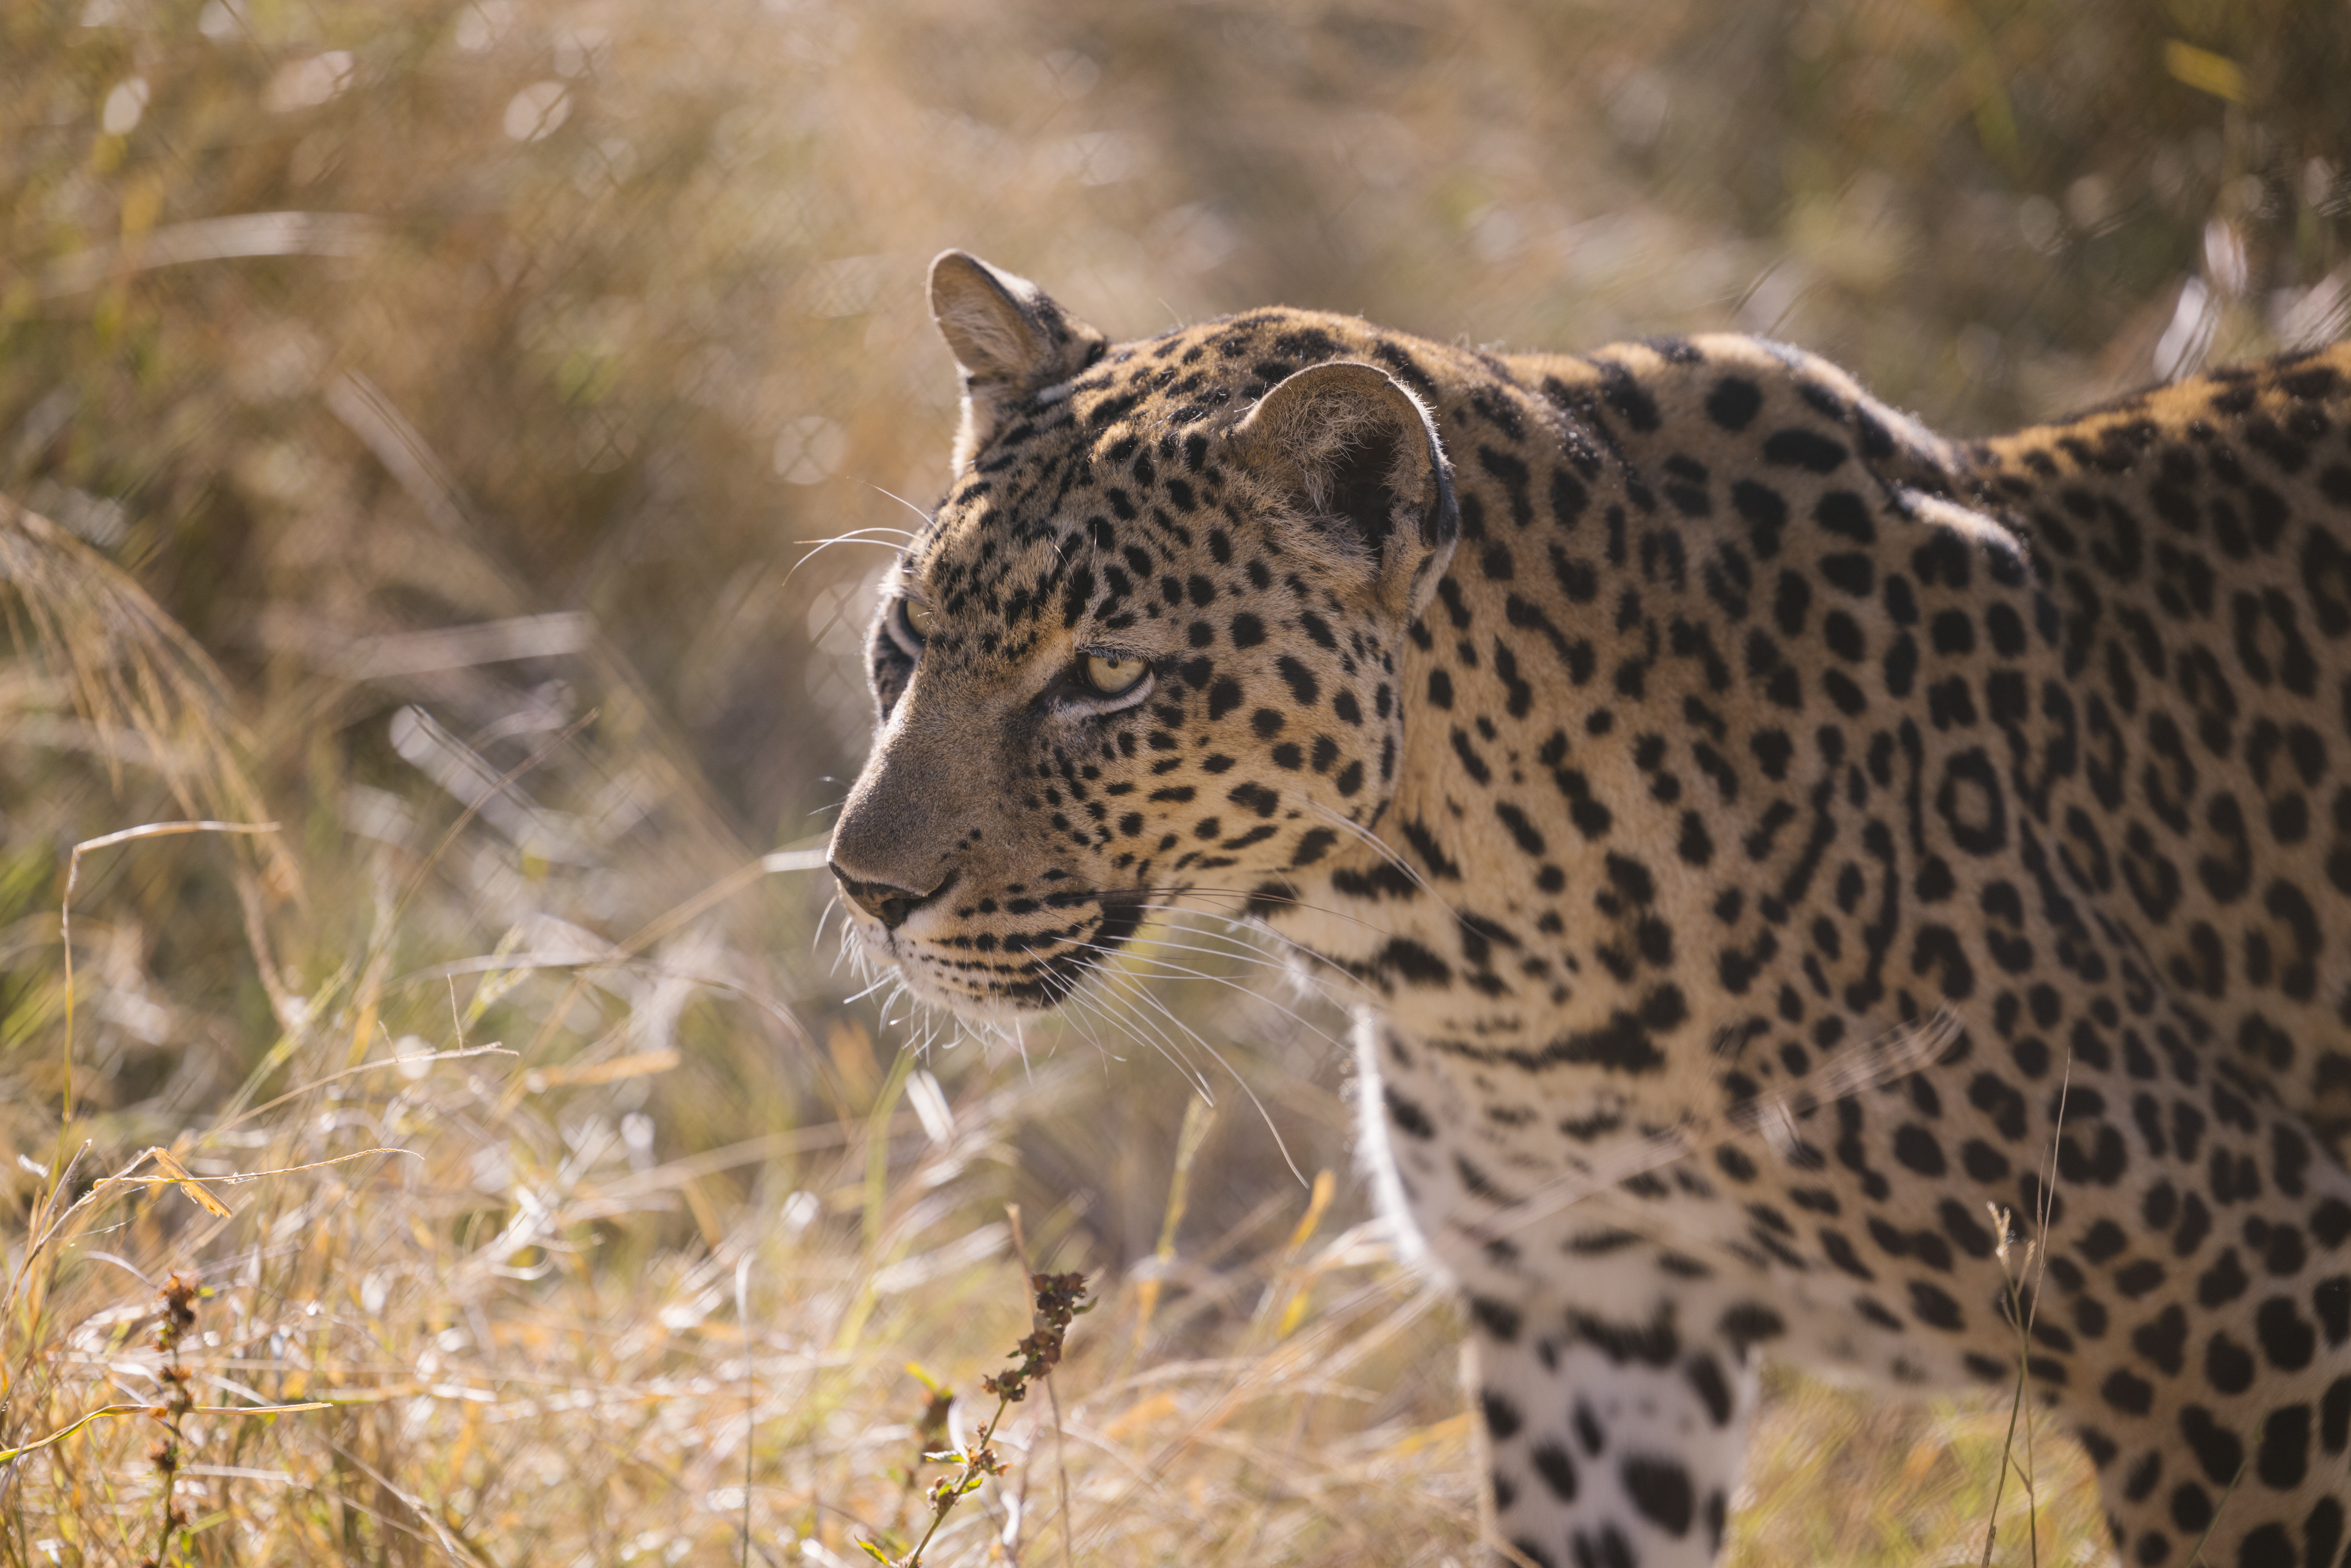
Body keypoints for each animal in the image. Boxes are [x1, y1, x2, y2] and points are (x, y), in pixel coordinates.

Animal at [826, 247, 2351, 1568]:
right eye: (905, 636)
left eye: (1107, 675)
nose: (867, 885)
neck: (1475, 953)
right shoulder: (1594, 1323)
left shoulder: (2237, 1317)